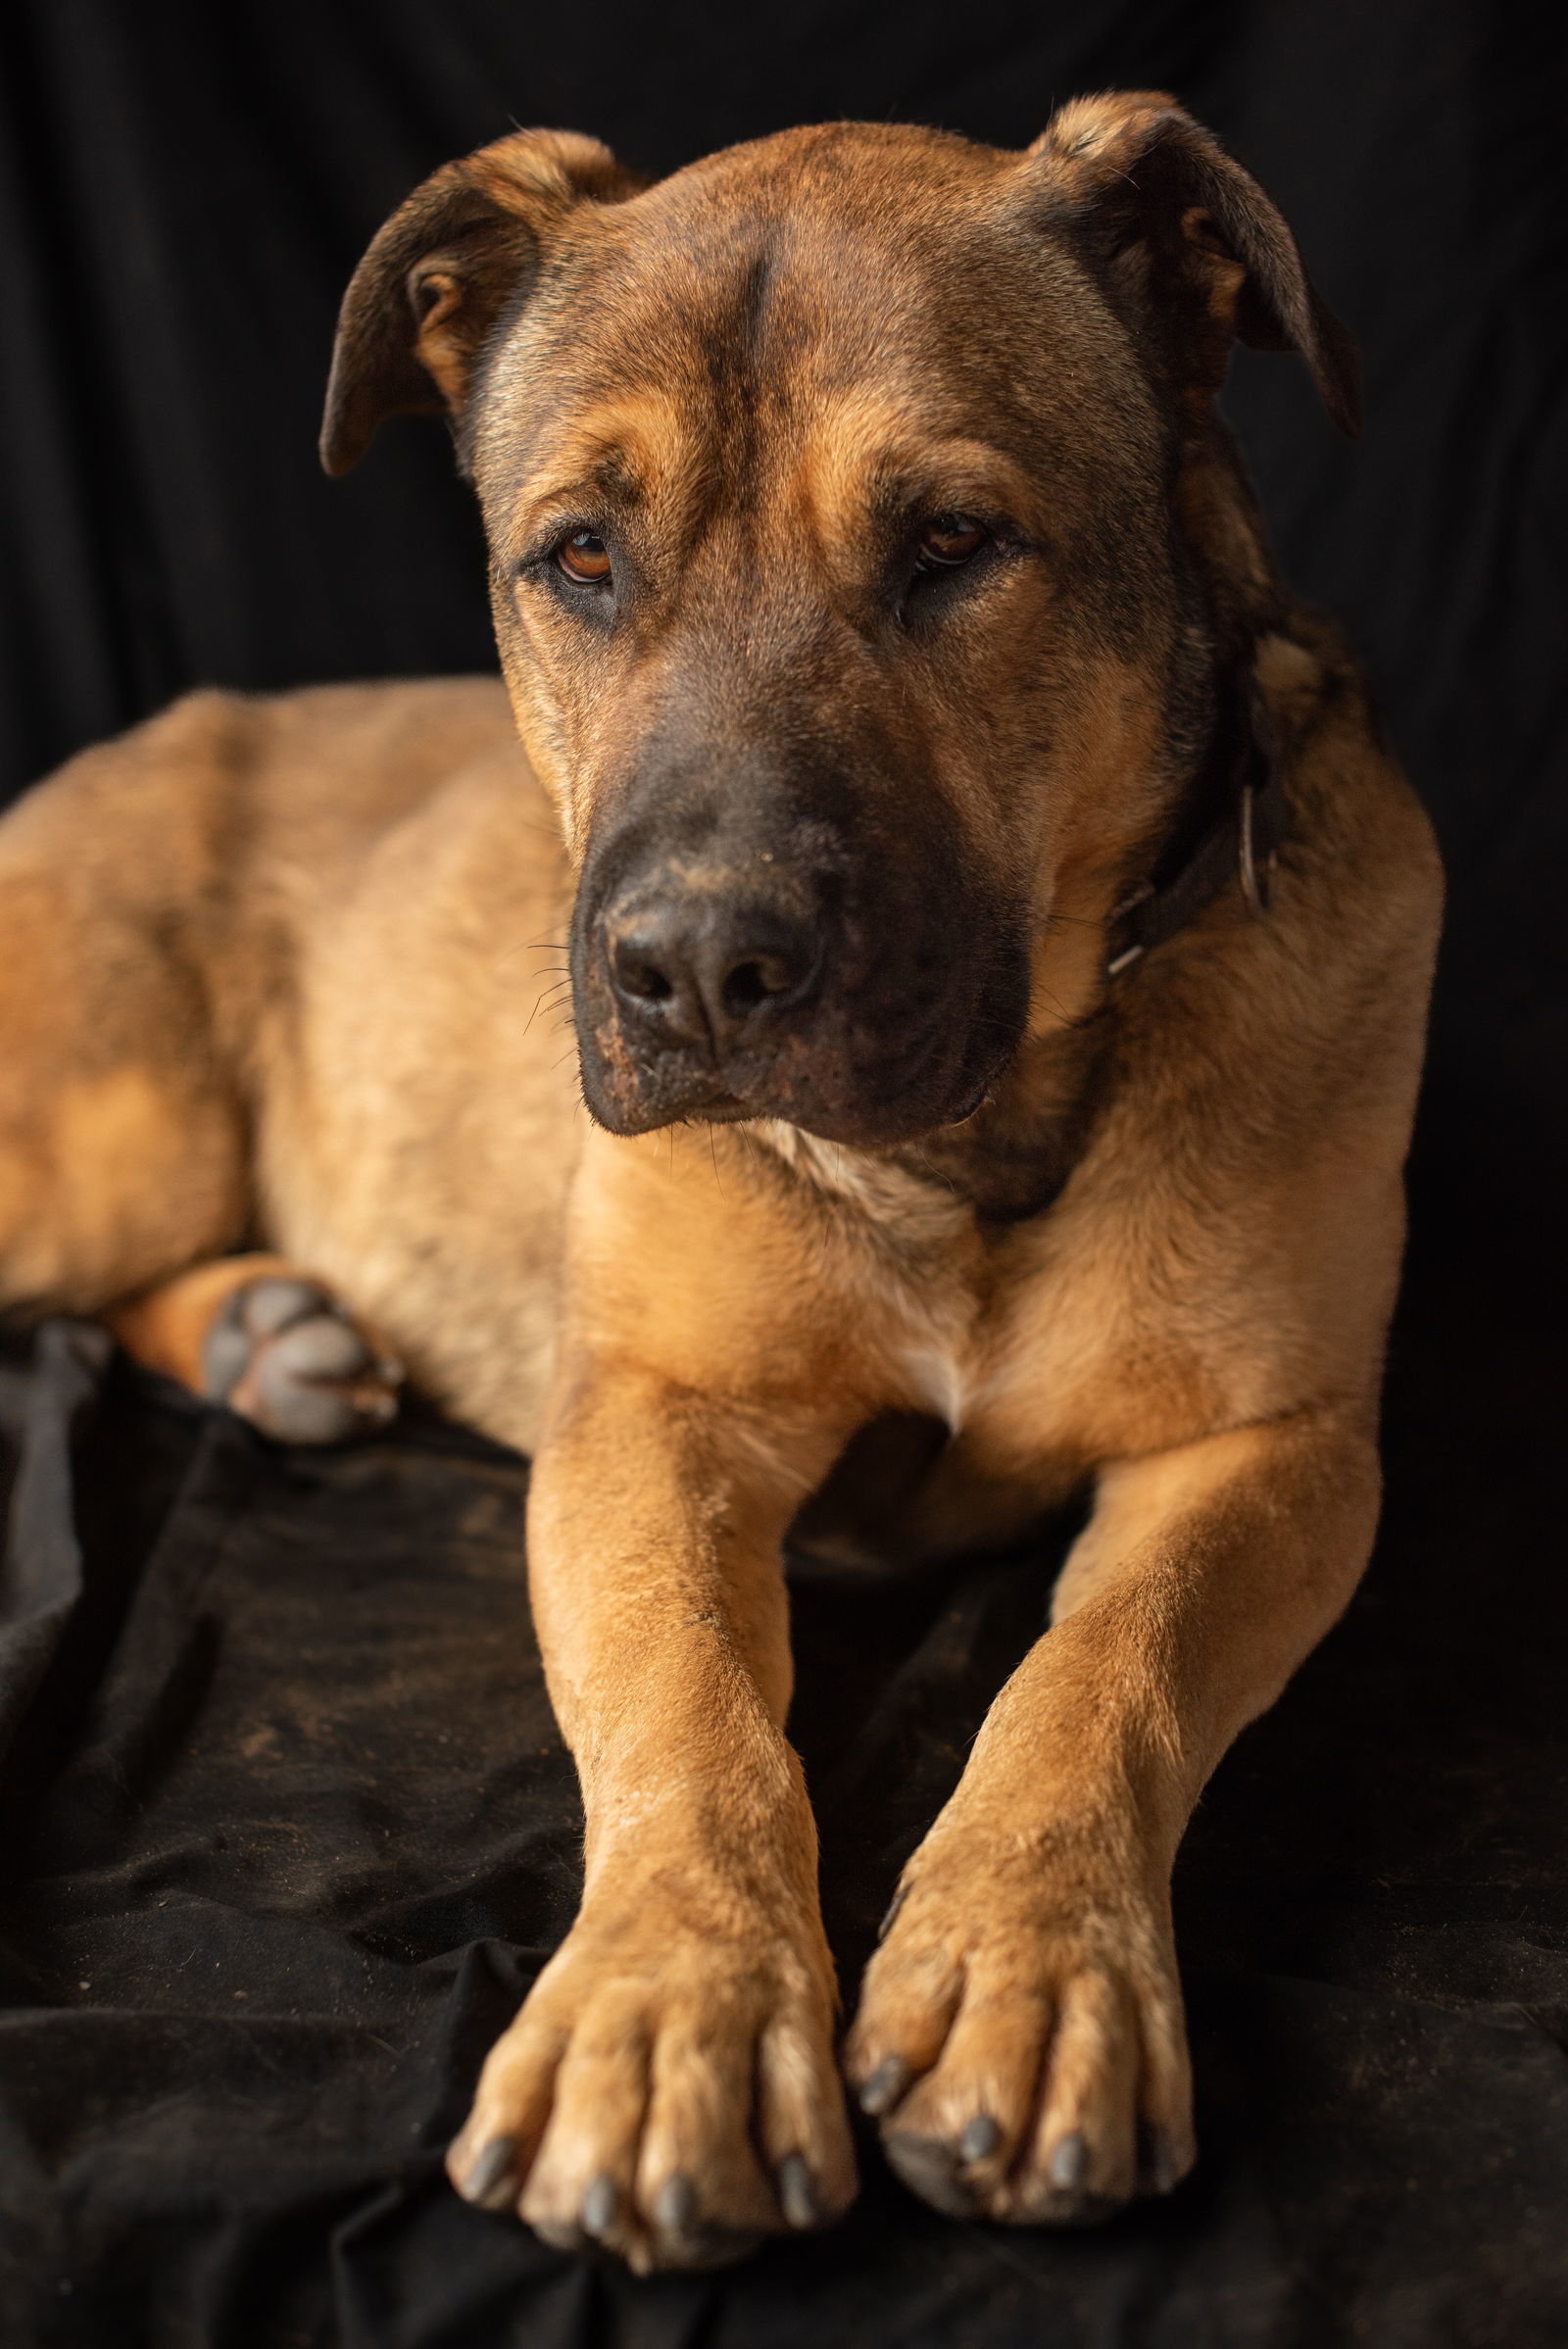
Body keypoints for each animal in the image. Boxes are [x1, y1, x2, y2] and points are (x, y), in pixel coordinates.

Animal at [0, 96, 1446, 2274]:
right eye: (580, 559)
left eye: (954, 546)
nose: (692, 971)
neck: (974, 1131)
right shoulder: (648, 1418)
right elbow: (686, 1710)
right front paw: (667, 2002)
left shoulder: (1271, 1445)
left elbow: (1101, 1670)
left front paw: (1033, 1966)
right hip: (108, 1129)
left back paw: (267, 1330)